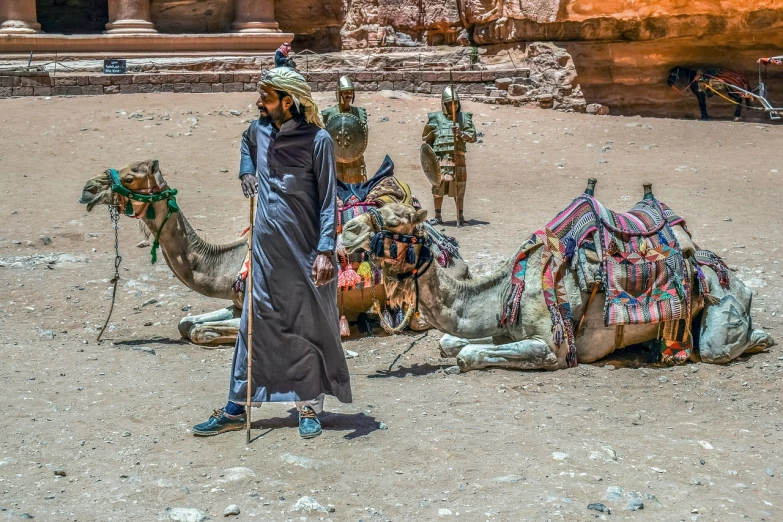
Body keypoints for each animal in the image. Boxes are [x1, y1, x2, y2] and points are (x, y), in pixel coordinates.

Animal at [342, 192, 772, 370]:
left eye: (397, 220)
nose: (347, 230)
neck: (504, 290)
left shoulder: (553, 346)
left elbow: (467, 355)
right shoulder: (505, 322)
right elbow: (449, 343)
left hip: (723, 298)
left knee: (718, 346)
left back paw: (761, 338)